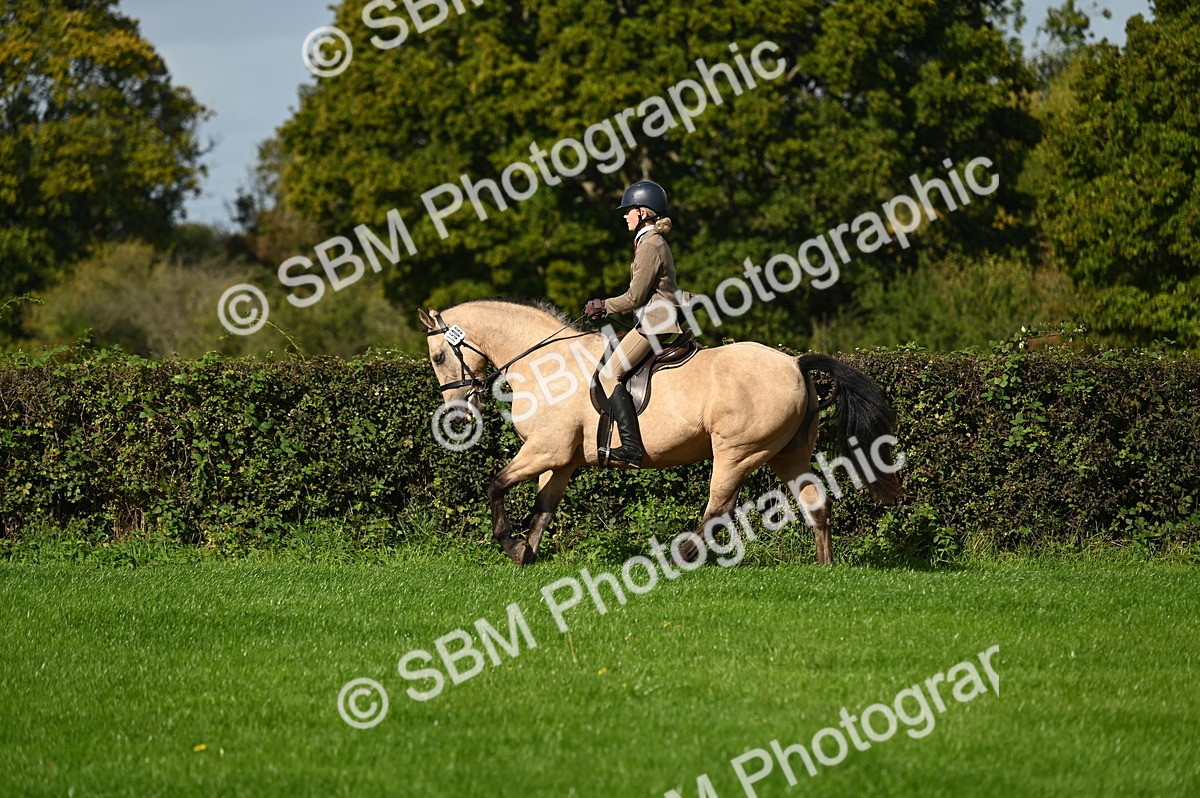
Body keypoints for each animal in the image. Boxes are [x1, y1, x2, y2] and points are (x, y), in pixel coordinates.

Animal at [417, 299, 902, 566]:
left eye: (439, 356)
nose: (457, 414)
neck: (545, 365)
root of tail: (795, 363)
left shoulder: (544, 451)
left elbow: (495, 484)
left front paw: (508, 543)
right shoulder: (561, 460)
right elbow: (542, 510)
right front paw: (525, 554)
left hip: (737, 452)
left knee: (718, 511)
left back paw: (677, 559)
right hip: (789, 454)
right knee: (815, 502)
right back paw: (825, 567)